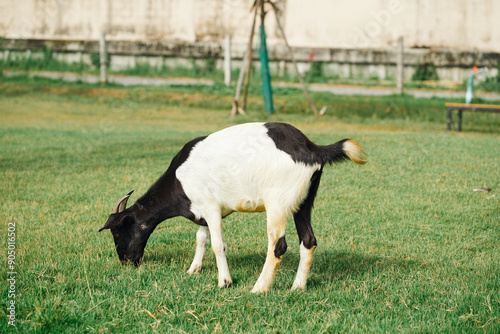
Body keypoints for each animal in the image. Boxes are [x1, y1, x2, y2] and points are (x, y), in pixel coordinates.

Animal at [99, 122, 368, 292]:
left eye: (117, 232)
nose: (126, 262)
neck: (179, 179)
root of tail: (312, 149)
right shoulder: (209, 210)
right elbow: (201, 237)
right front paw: (194, 269)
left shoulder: (210, 206)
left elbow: (218, 244)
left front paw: (225, 282)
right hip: (304, 201)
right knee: (308, 241)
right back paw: (297, 287)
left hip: (278, 202)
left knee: (278, 245)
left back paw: (259, 288)